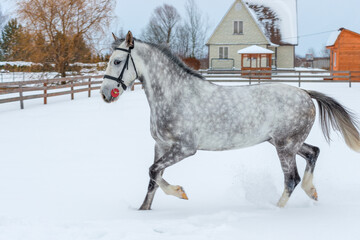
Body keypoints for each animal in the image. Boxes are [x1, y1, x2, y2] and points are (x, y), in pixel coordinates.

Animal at [100, 31, 360, 210]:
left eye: (116, 61)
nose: (104, 94)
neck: (175, 95)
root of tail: (305, 93)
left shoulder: (185, 148)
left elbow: (153, 171)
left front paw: (180, 192)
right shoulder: (161, 145)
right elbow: (153, 178)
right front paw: (144, 211)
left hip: (285, 146)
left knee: (291, 179)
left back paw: (276, 211)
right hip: (285, 142)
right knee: (313, 152)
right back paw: (312, 191)